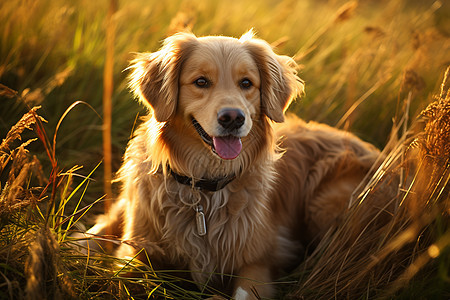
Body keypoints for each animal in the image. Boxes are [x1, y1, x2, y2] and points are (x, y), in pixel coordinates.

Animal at [85, 31, 380, 300]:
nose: (233, 118)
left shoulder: (259, 260)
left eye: (246, 83)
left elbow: (244, 290)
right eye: (201, 81)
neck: (204, 188)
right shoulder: (135, 252)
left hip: (327, 204)